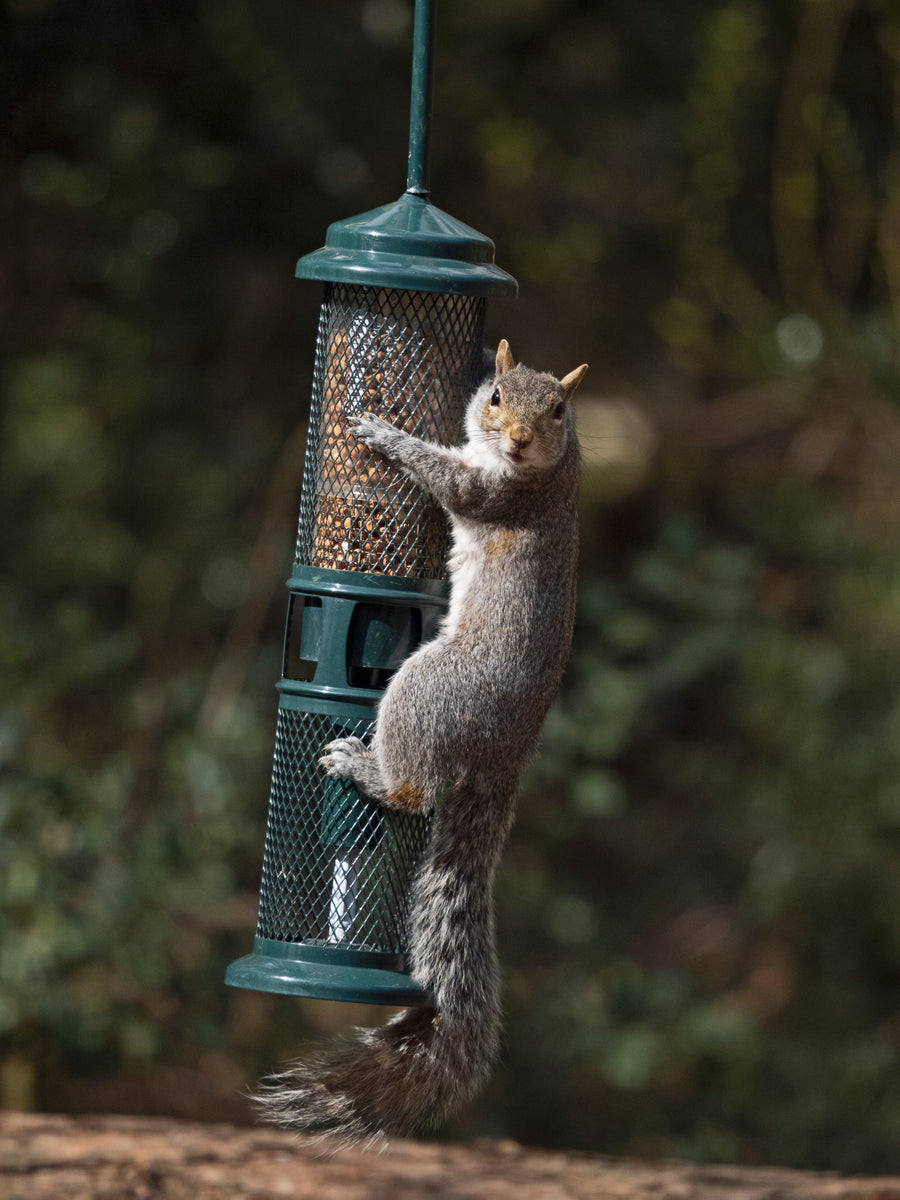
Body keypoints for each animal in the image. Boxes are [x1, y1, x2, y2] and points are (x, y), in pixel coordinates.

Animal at [254, 339, 588, 1148]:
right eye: (497, 396)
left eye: (558, 410)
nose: (519, 441)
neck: (548, 470)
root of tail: (505, 753)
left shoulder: (493, 495)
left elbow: (447, 479)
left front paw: (383, 433)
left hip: (428, 689)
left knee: (413, 791)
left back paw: (364, 767)